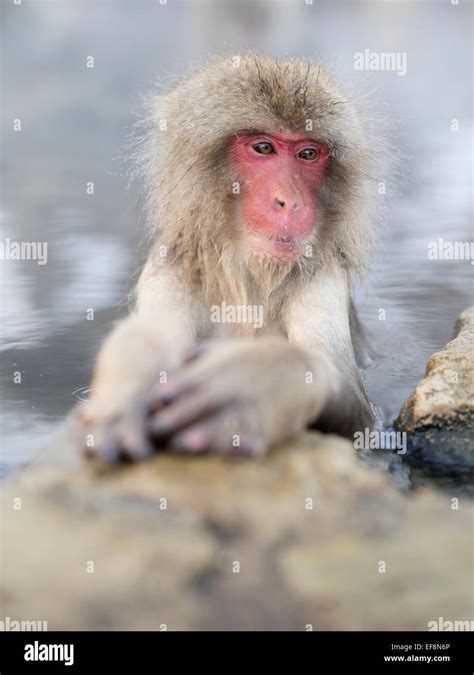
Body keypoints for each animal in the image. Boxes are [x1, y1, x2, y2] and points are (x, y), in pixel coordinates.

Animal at [77, 53, 380, 464]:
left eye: (308, 154)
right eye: (263, 148)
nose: (291, 202)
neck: (247, 279)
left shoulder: (326, 274)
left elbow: (354, 402)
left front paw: (255, 381)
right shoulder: (169, 268)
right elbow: (151, 334)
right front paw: (130, 382)